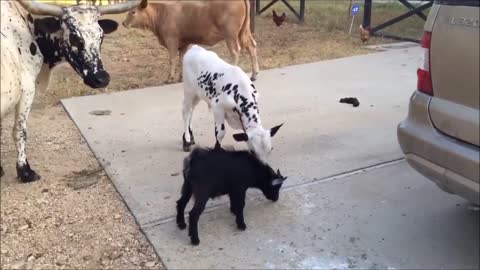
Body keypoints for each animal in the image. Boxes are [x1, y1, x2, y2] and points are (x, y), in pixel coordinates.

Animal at [0, 0, 141, 182]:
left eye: (101, 36)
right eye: (75, 38)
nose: (101, 78)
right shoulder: (27, 89)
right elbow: (20, 131)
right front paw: (25, 171)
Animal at [122, 0, 260, 83]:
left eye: (132, 12)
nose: (123, 23)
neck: (162, 14)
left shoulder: (171, 40)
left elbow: (172, 59)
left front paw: (170, 78)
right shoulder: (184, 43)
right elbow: (181, 59)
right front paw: (181, 78)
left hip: (230, 34)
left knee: (235, 51)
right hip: (244, 31)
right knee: (251, 46)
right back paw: (254, 74)